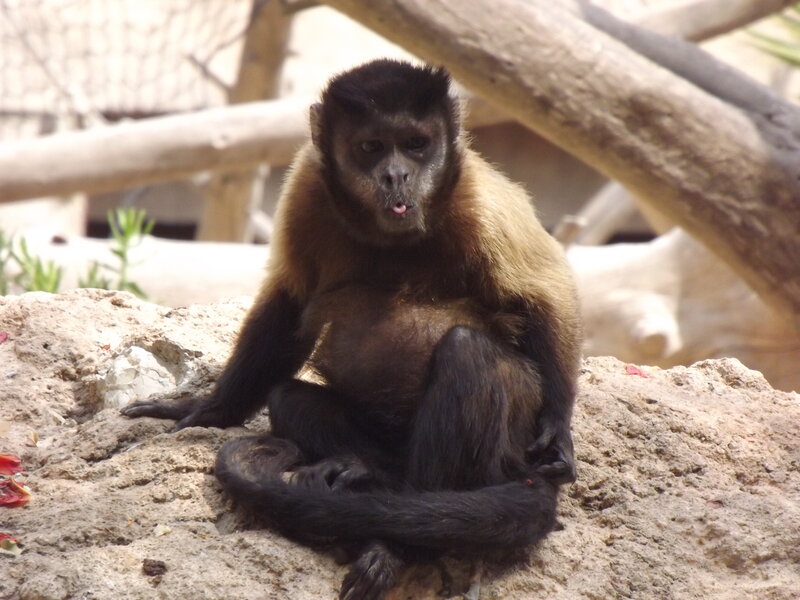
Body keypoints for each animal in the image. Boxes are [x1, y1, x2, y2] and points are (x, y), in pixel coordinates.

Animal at [122, 59, 582, 600]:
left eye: (416, 144)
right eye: (371, 147)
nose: (396, 174)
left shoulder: (479, 196)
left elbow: (544, 294)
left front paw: (558, 431)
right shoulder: (307, 184)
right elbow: (290, 301)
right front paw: (210, 408)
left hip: (506, 451)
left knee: (468, 351)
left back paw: (394, 543)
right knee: (288, 397)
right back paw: (365, 471)